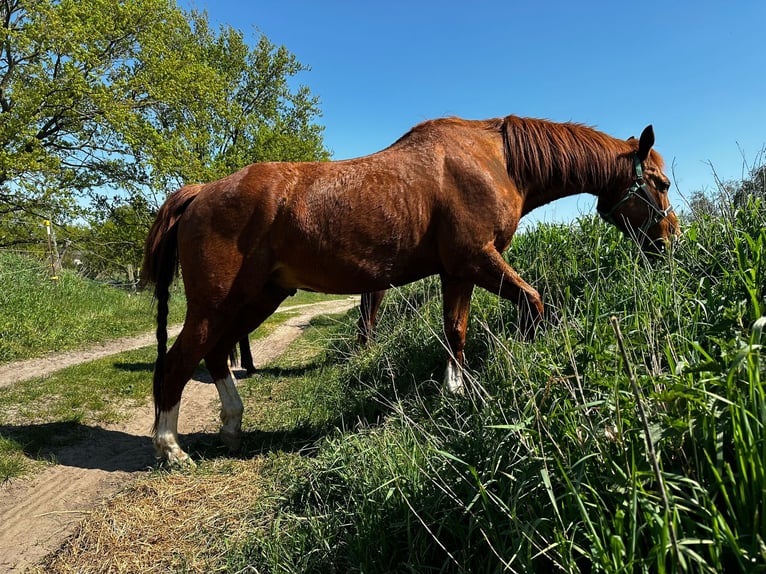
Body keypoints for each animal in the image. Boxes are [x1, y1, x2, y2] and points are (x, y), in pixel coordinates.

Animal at [142, 115, 680, 466]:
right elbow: (533, 303)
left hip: (256, 299)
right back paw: (170, 448)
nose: (670, 240)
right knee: (180, 361)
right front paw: (525, 370)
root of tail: (201, 192)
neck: (495, 160)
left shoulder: (458, 272)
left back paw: (232, 426)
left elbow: (455, 331)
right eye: (661, 182)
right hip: (217, 303)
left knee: (214, 356)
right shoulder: (478, 260)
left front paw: (455, 392)